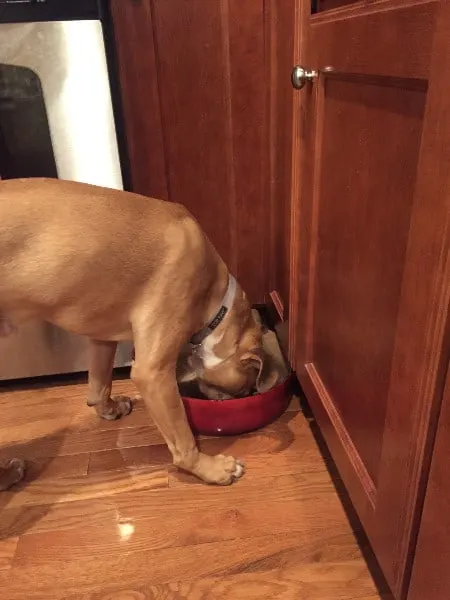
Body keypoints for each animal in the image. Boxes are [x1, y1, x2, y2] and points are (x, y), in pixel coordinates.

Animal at [0, 178, 280, 488]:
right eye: (243, 389)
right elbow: (182, 439)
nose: (241, 398)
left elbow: (99, 384)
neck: (217, 305)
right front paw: (210, 468)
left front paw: (109, 409)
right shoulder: (153, 373)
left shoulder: (102, 338)